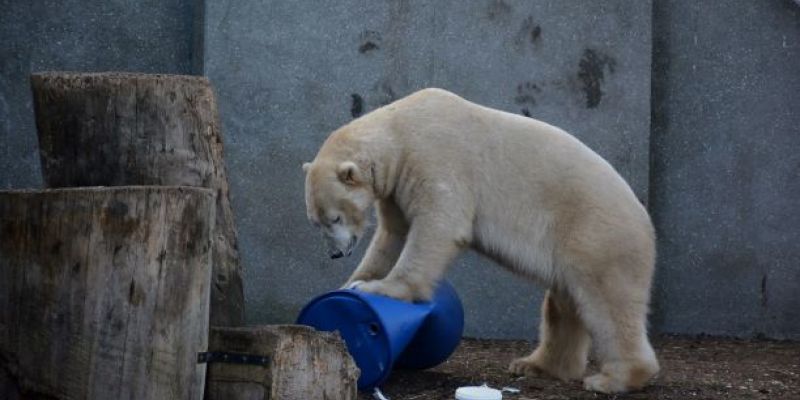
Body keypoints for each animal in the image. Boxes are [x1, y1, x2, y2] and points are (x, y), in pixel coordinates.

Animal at [304, 88, 660, 394]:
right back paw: (536, 365)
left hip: (595, 234)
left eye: (335, 218)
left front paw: (382, 289)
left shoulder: (434, 157)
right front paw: (353, 283)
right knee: (562, 304)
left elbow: (437, 225)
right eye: (316, 221)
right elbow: (392, 236)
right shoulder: (395, 187)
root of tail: (645, 219)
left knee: (607, 302)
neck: (400, 131)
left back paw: (614, 378)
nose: (336, 254)